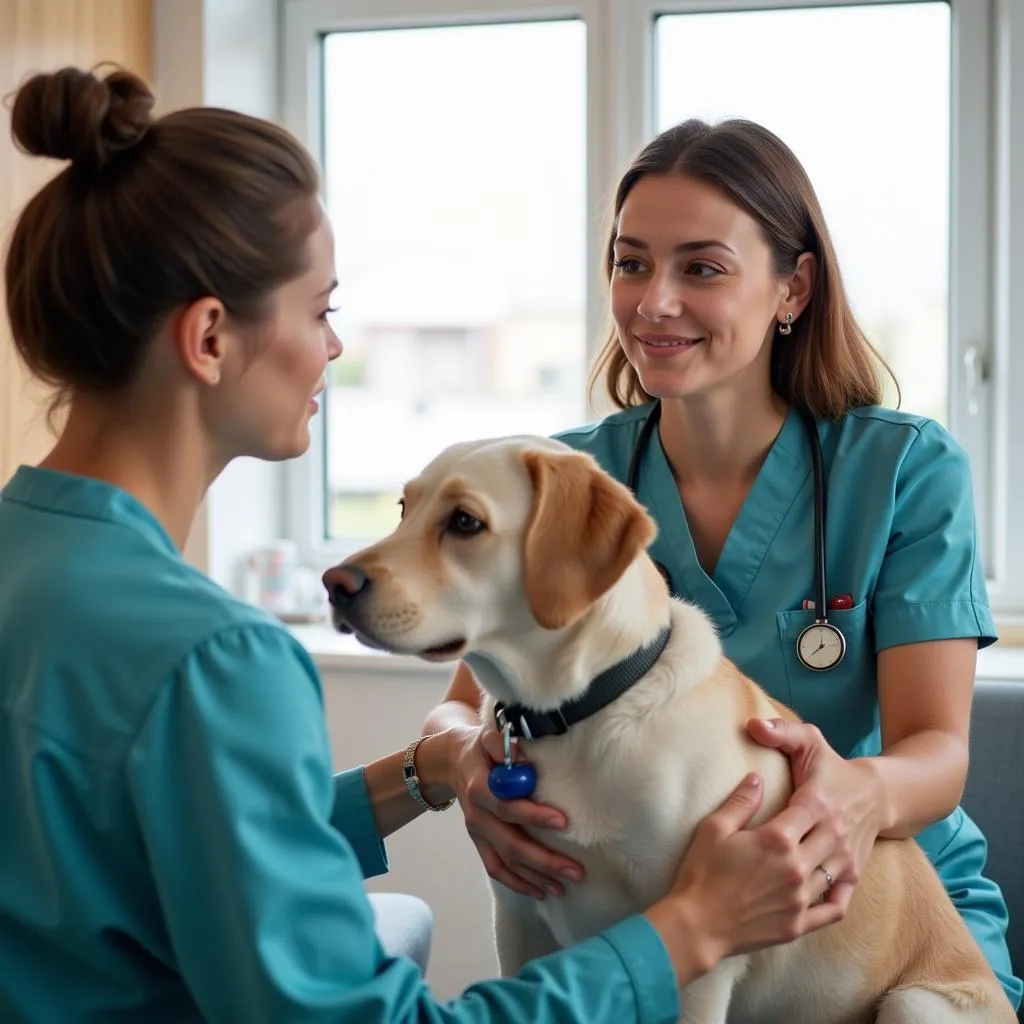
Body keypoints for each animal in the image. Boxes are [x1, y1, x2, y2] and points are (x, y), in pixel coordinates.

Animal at [323, 434, 1011, 1024]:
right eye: (404, 509)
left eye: (465, 522)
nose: (336, 584)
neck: (583, 712)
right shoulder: (518, 923)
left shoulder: (698, 957)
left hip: (913, 1002)